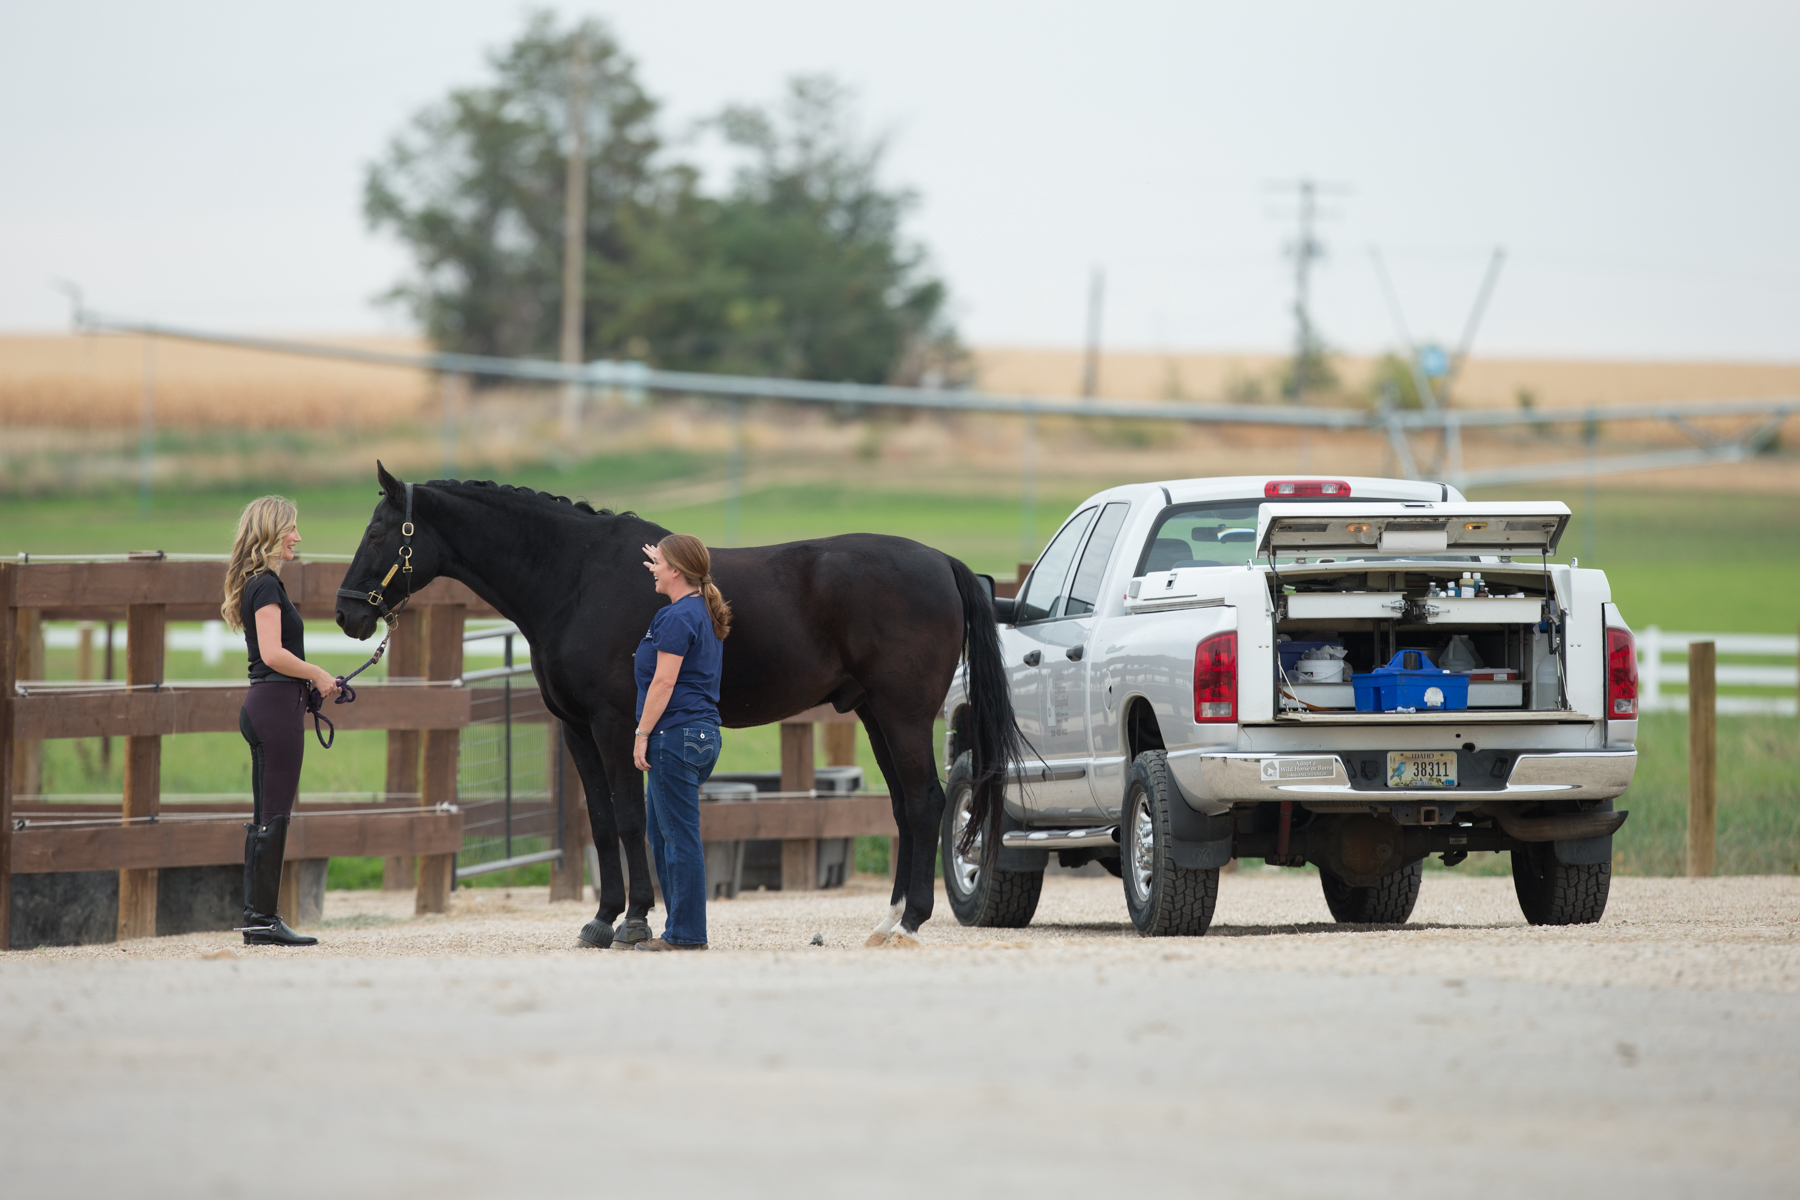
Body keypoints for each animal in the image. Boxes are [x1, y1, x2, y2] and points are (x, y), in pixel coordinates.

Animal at [331, 467, 1022, 949]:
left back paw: (910, 922)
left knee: (926, 803)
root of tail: (943, 563)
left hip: (903, 715)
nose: (345, 614)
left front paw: (635, 920)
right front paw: (600, 920)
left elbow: (630, 818)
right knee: (906, 808)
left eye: (377, 532)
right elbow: (600, 823)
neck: (575, 577)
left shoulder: (616, 724)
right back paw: (889, 919)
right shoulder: (577, 730)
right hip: (876, 714)